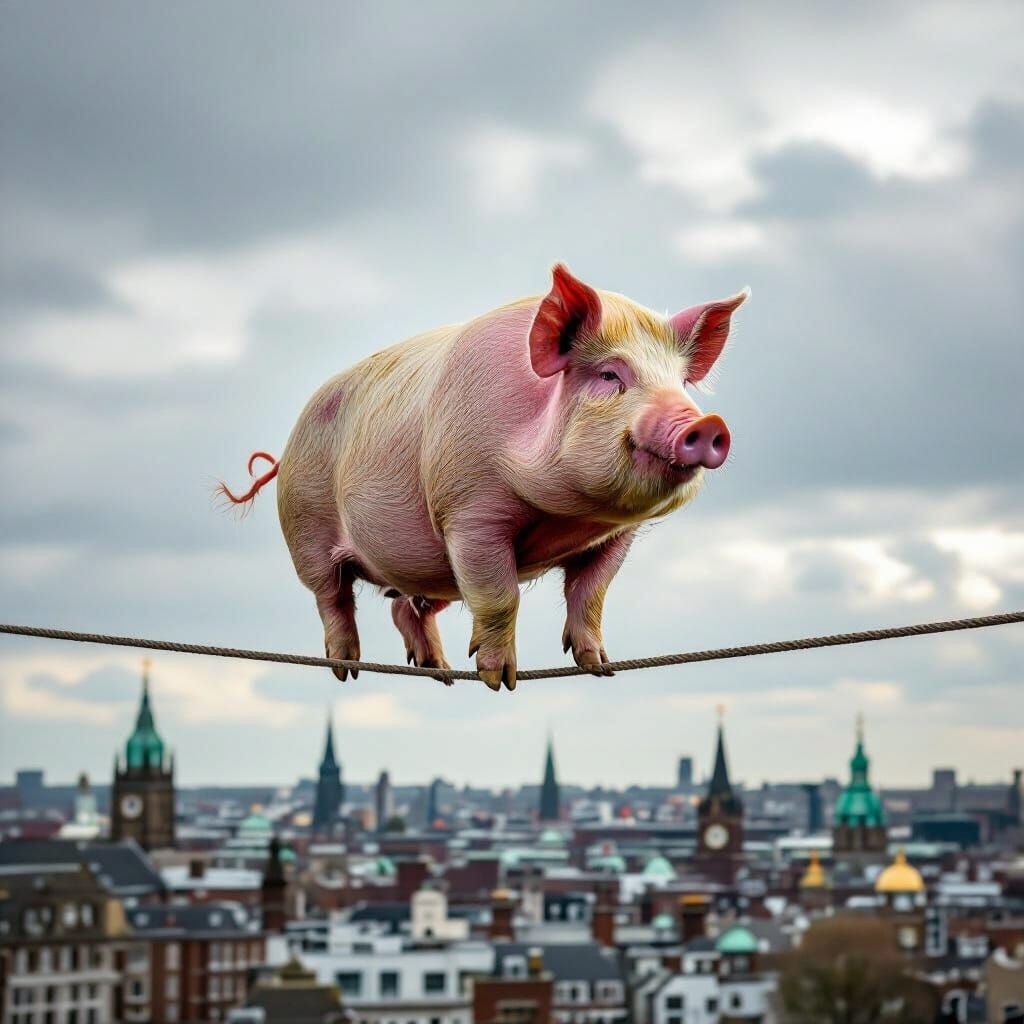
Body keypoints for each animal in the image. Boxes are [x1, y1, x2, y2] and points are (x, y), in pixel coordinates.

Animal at [219, 265, 747, 691]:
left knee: (405, 607)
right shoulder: (468, 514)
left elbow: (591, 593)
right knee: (331, 597)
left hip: (430, 567)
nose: (708, 423)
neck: (566, 514)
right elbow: (499, 597)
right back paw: (347, 666)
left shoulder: (616, 537)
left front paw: (599, 667)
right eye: (609, 375)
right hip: (304, 524)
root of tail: (287, 450)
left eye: (679, 383)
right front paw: (500, 680)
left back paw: (441, 672)